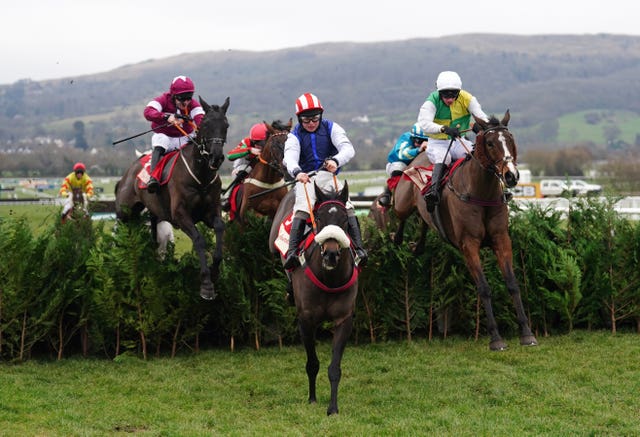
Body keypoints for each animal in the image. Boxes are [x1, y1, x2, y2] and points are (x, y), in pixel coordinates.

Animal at [114, 95, 230, 300]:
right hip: (124, 213)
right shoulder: (181, 215)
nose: (216, 157)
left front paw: (215, 272)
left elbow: (219, 227)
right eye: (205, 124)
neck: (200, 176)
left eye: (226, 125)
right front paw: (206, 284)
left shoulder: (210, 212)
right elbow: (199, 239)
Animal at [268, 182, 360, 414]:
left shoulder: (344, 320)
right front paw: (312, 398)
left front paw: (333, 408)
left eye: (345, 220)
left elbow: (334, 367)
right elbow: (312, 363)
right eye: (318, 218)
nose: (331, 254)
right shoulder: (306, 319)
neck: (330, 278)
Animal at [412, 110, 536, 350]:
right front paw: (496, 338)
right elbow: (484, 288)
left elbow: (512, 284)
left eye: (511, 140)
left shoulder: (501, 239)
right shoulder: (469, 244)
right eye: (489, 143)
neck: (481, 193)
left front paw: (527, 333)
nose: (511, 176)